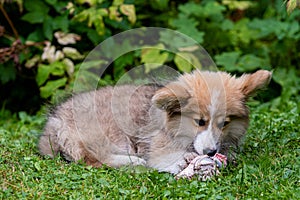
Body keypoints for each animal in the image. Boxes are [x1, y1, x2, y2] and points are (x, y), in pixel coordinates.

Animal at [38, 69, 272, 174]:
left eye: (225, 123)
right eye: (200, 121)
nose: (211, 153)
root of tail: (55, 122)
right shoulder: (155, 148)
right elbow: (166, 158)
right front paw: (184, 160)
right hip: (108, 136)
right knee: (93, 159)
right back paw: (133, 163)